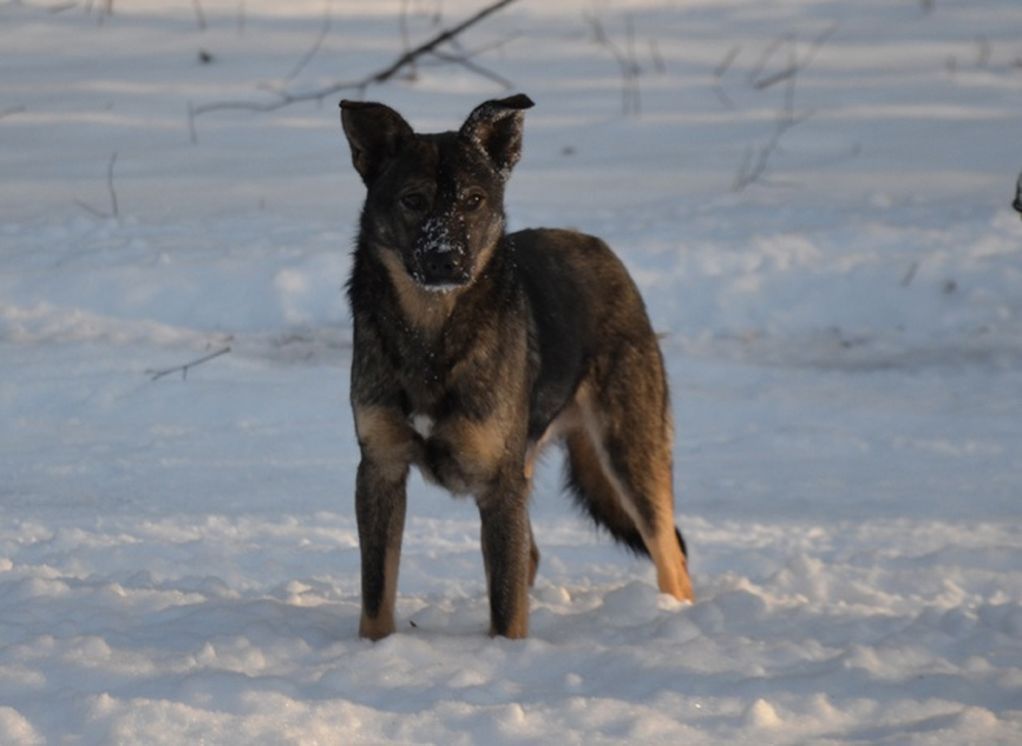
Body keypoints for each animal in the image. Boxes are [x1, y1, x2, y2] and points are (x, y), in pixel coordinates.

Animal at [339, 92, 690, 637]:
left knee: (671, 556)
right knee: (533, 556)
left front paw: (506, 653)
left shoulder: (498, 485)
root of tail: (598, 247)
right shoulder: (380, 470)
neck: (432, 338)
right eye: (413, 200)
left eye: (473, 201)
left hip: (629, 453)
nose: (445, 260)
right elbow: (377, 596)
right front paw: (373, 651)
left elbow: (506, 607)